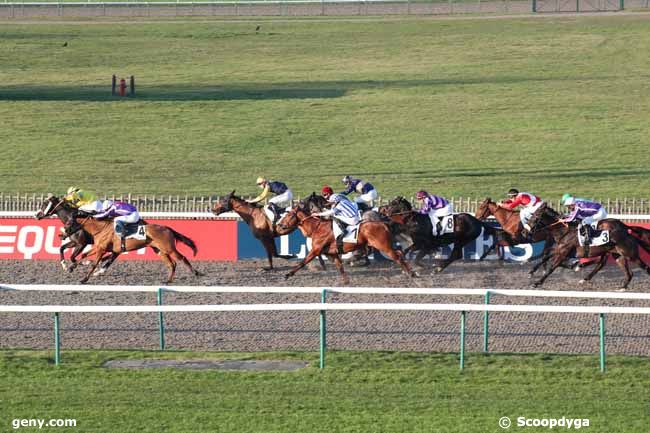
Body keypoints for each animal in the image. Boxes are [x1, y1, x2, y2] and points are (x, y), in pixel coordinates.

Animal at [276, 201, 412, 282]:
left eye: (288, 216)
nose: (279, 225)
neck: (317, 227)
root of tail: (383, 223)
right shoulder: (333, 253)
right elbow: (340, 266)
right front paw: (346, 281)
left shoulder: (315, 250)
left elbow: (303, 262)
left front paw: (288, 274)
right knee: (399, 253)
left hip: (383, 246)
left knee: (397, 256)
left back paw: (411, 273)